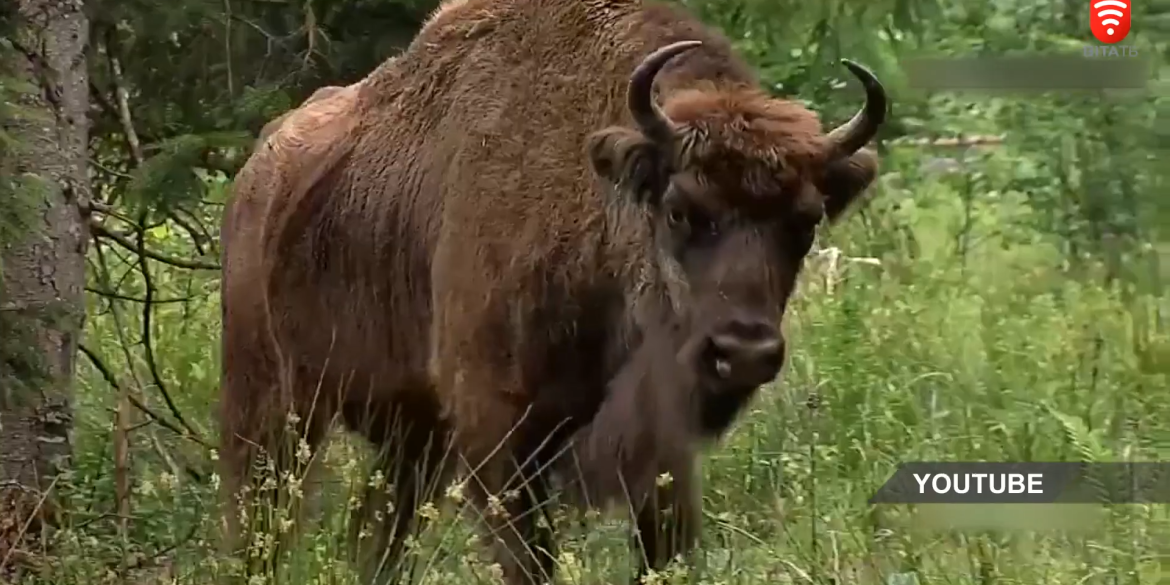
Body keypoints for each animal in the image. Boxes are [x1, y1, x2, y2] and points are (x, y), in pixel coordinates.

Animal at [219, 0, 884, 580]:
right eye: (680, 210)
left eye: (805, 222)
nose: (742, 352)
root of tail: (255, 174)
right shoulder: (498, 434)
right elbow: (529, 559)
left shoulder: (659, 448)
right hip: (272, 404)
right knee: (261, 521)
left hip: (412, 436)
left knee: (377, 531)